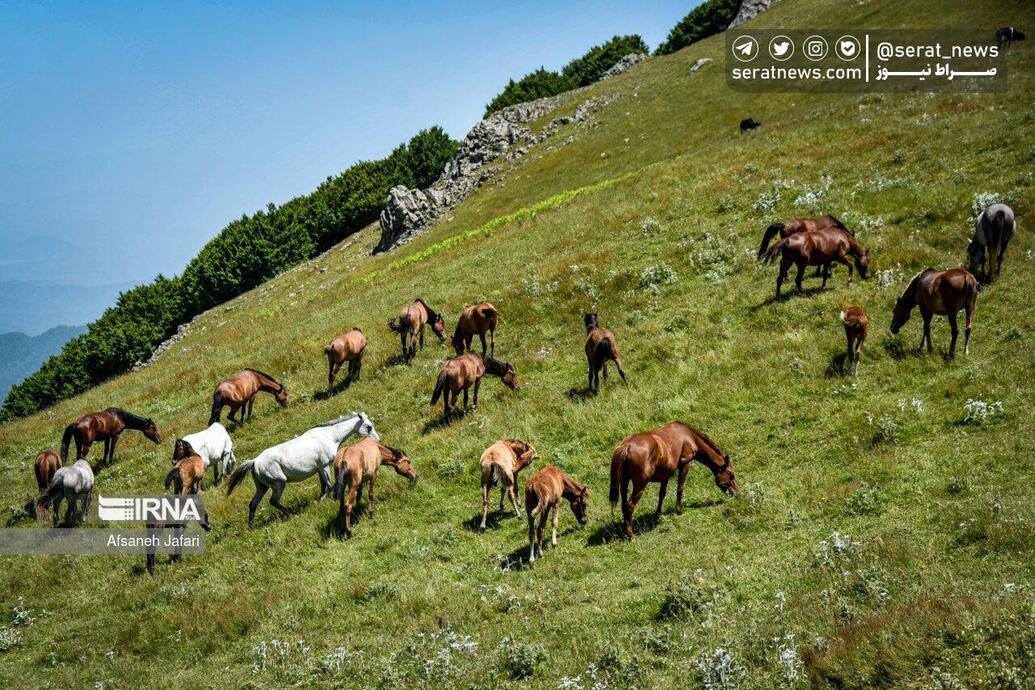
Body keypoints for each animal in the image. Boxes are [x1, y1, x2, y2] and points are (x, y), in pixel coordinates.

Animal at [225, 412, 379, 527]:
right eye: (369, 426)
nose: (377, 440)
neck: (329, 436)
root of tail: (255, 462)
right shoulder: (324, 466)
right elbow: (329, 485)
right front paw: (322, 500)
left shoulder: (319, 469)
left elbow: (324, 486)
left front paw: (320, 498)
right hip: (278, 484)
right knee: (273, 502)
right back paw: (291, 512)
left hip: (262, 487)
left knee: (253, 505)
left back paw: (251, 526)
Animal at [610, 422, 738, 539]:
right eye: (731, 474)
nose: (736, 493)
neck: (688, 436)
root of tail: (627, 446)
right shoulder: (685, 464)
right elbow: (680, 489)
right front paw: (679, 511)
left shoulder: (666, 474)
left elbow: (662, 494)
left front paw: (658, 514)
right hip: (640, 485)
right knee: (630, 506)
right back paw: (631, 536)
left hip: (624, 482)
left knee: (624, 505)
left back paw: (625, 531)